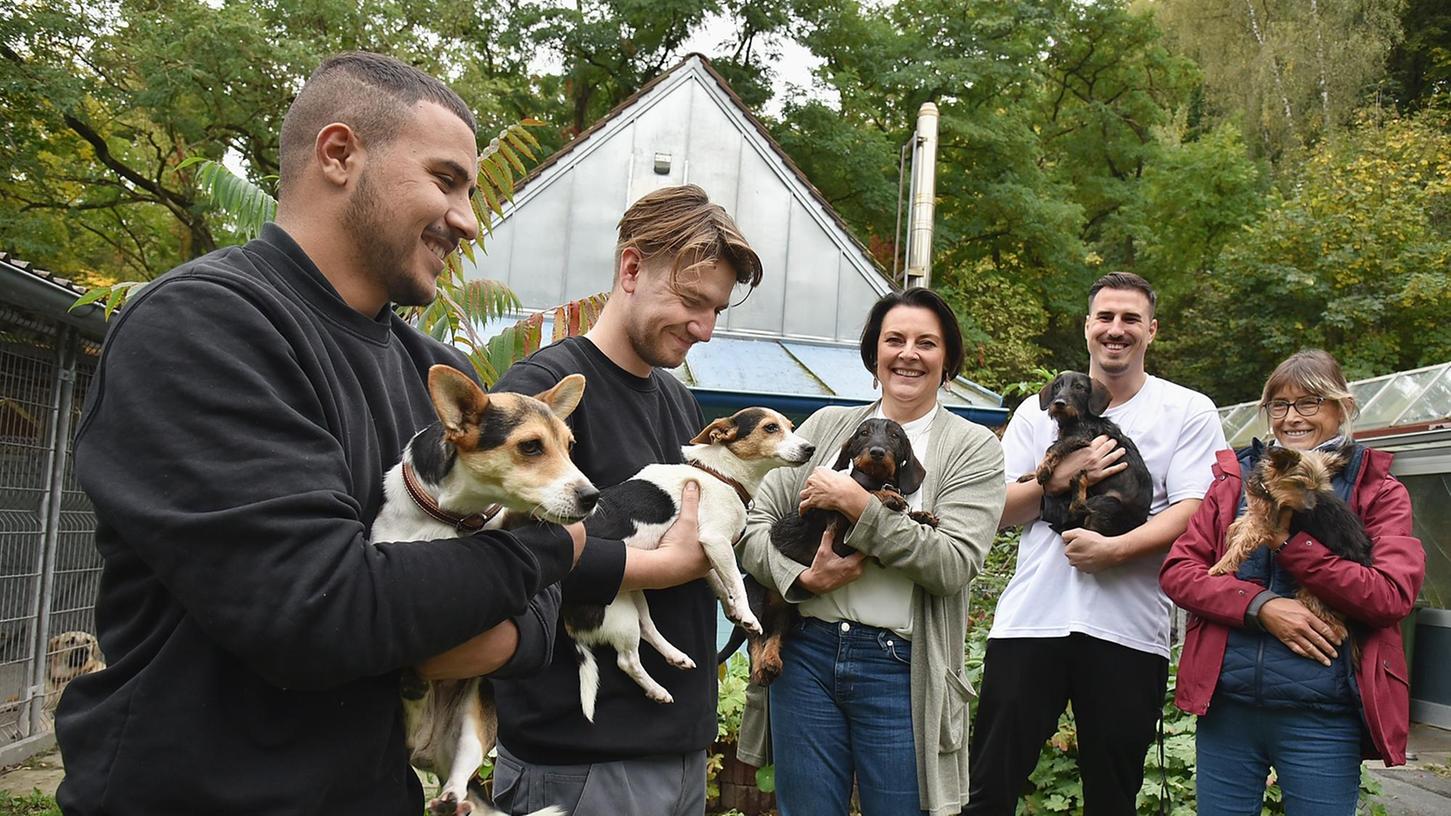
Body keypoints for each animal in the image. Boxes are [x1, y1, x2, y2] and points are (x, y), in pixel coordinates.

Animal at [380, 362, 600, 813]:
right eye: (531, 447)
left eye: (570, 447)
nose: (593, 496)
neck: (455, 518)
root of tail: (428, 751)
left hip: (473, 722)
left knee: (459, 778)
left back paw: (452, 799)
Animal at [565, 406, 818, 717]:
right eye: (770, 428)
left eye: (791, 427)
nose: (809, 448)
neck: (722, 474)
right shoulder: (716, 540)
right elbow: (735, 582)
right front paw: (747, 614)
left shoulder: (705, 551)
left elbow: (719, 581)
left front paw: (732, 608)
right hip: (619, 613)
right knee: (627, 660)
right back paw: (657, 689)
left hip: (633, 596)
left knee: (648, 628)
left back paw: (676, 656)